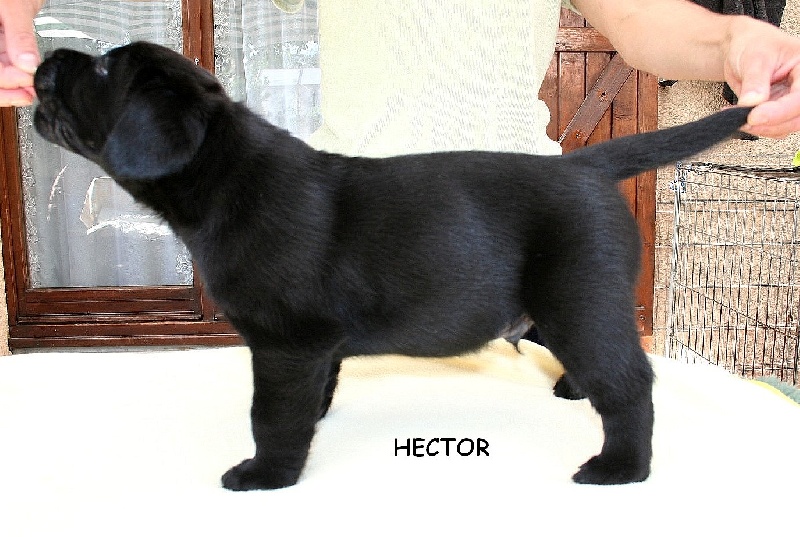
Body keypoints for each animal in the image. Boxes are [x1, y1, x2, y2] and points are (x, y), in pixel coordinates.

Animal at [33, 42, 751, 490]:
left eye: (103, 70)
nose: (46, 55)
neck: (226, 175)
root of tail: (588, 163)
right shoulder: (313, 347)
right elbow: (313, 394)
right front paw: (311, 425)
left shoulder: (286, 341)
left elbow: (271, 413)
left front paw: (267, 474)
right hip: (562, 308)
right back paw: (575, 391)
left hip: (578, 300)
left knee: (630, 383)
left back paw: (621, 467)